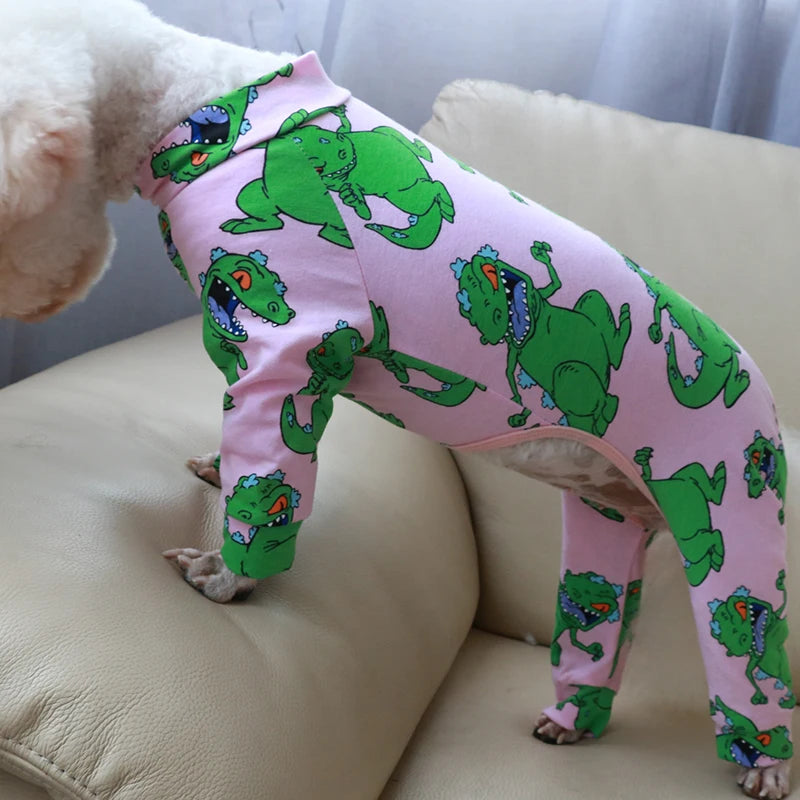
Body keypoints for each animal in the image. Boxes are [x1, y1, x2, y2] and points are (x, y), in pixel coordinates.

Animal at [0, 2, 795, 797]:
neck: (188, 105)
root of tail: (758, 393)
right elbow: (244, 446)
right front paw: (219, 474)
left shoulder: (289, 356)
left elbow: (268, 465)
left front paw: (227, 576)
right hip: (607, 526)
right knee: (600, 632)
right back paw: (570, 722)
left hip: (737, 526)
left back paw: (766, 766)